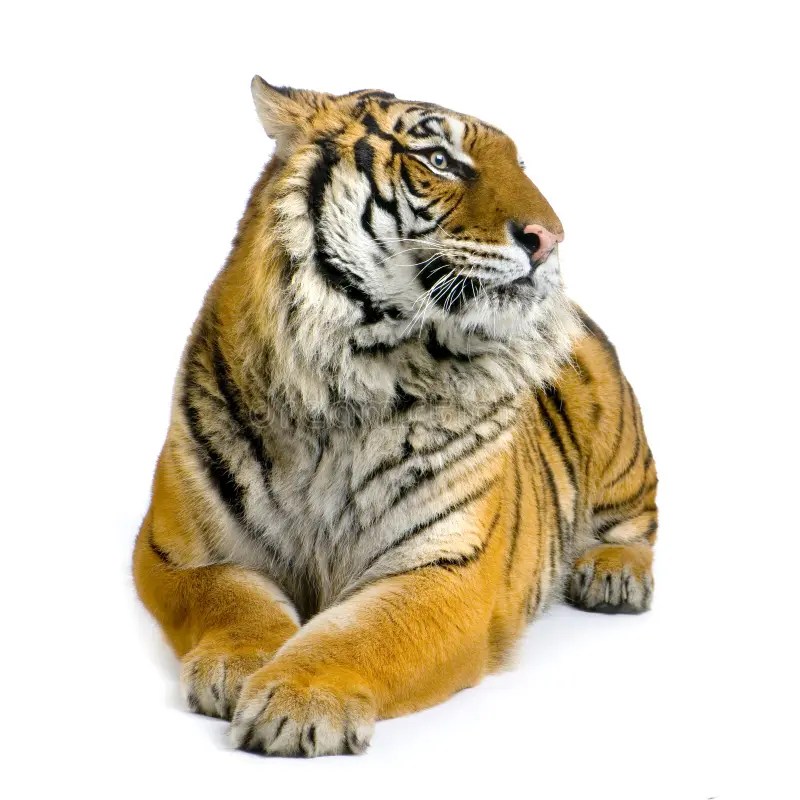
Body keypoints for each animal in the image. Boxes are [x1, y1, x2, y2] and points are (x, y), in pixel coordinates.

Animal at [133, 77, 658, 757]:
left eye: (519, 165)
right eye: (438, 160)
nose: (552, 238)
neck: (348, 385)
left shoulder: (447, 571)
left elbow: (359, 633)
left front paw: (299, 700)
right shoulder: (177, 553)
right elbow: (230, 599)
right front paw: (239, 663)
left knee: (640, 520)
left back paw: (614, 574)